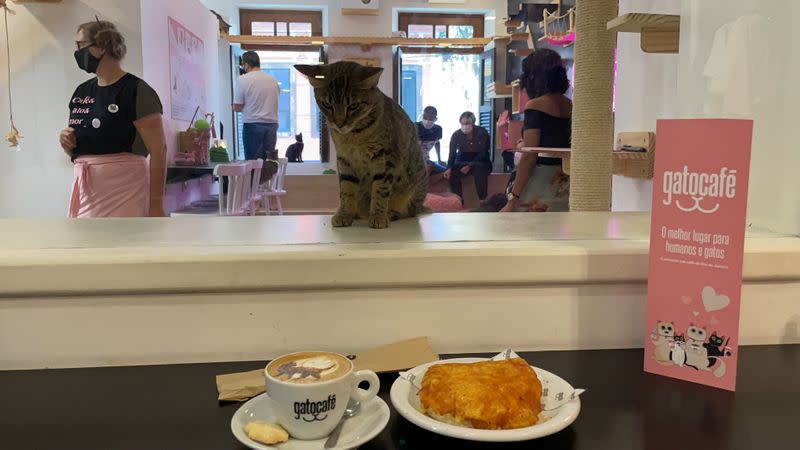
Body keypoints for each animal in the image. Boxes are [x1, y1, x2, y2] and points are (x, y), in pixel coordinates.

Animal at [296, 61, 432, 227]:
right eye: (327, 105)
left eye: (353, 106)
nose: (339, 124)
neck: (354, 136)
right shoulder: (345, 159)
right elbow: (346, 190)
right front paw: (344, 214)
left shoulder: (385, 158)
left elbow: (380, 189)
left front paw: (378, 216)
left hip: (414, 188)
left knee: (409, 212)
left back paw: (390, 213)